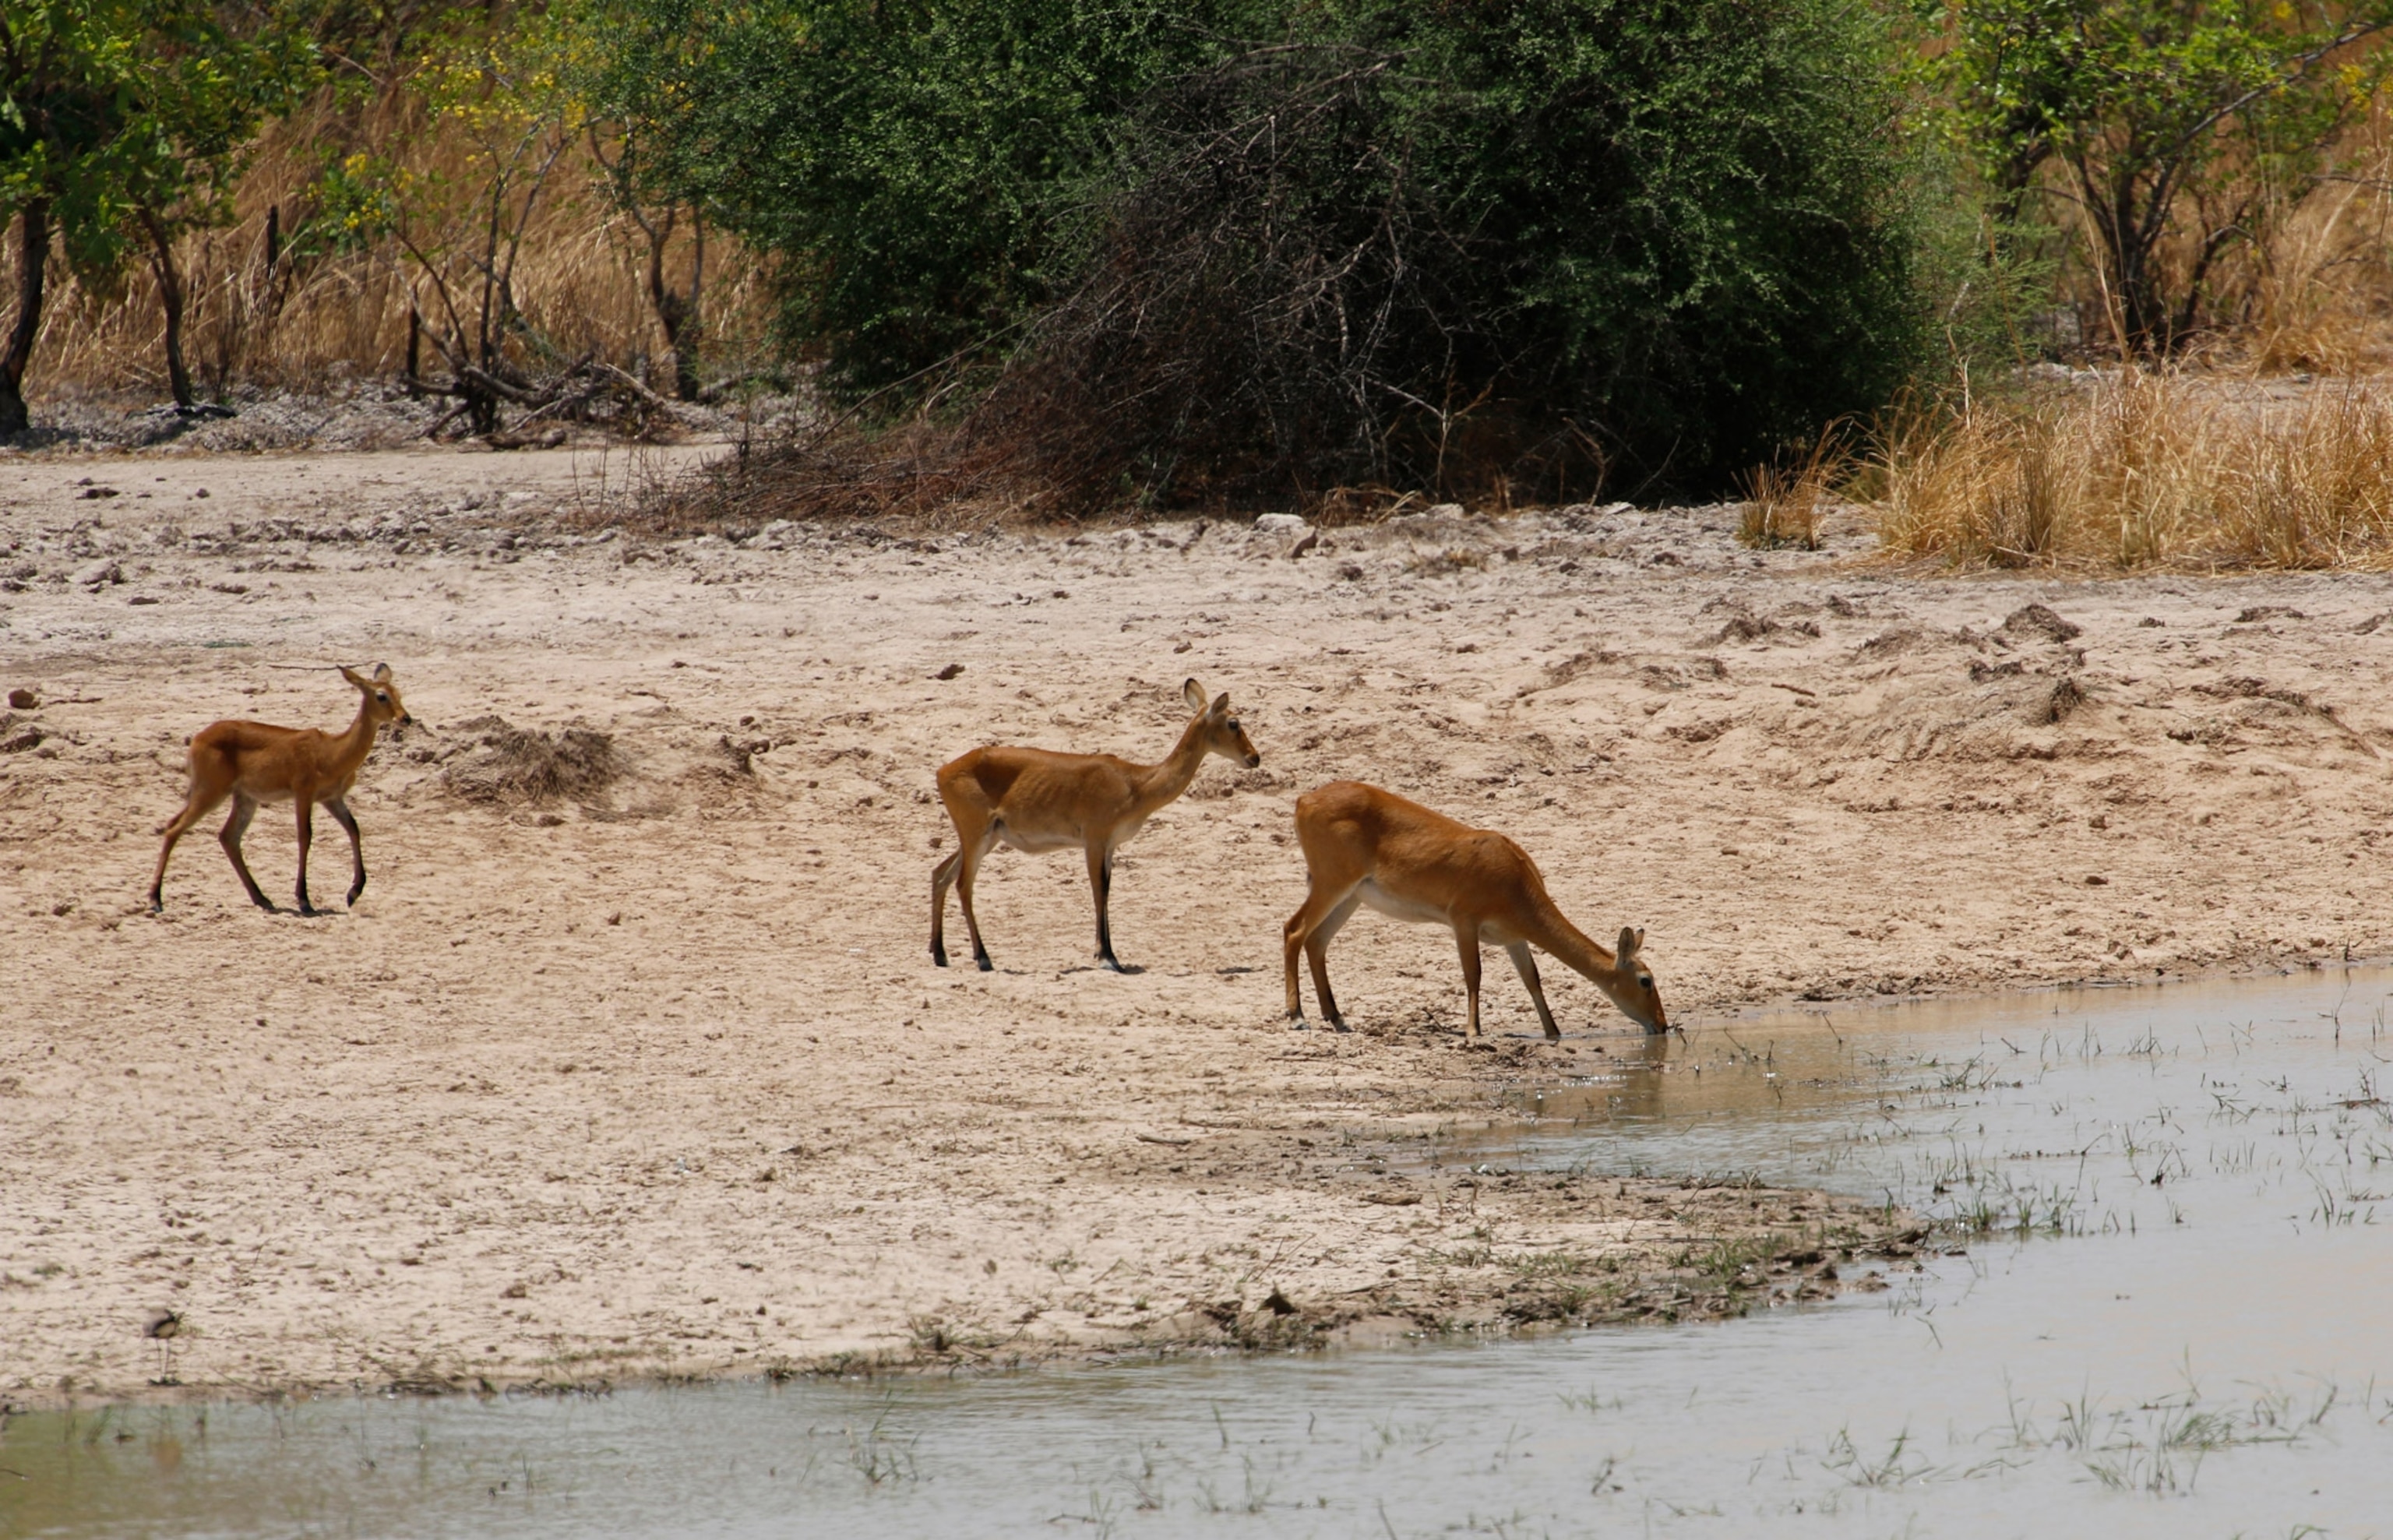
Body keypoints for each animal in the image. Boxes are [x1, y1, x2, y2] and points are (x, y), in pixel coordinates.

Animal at [149, 664, 414, 916]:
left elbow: (354, 828)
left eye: (398, 692)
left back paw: (263, 899)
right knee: (175, 829)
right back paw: (155, 900)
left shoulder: (332, 798)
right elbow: (305, 836)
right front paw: (304, 900)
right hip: (212, 792)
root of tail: (198, 738)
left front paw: (353, 893)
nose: (406, 718)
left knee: (226, 836)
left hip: (242, 798)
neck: (332, 752)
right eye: (381, 695)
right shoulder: (304, 794)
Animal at [932, 678, 1260, 972]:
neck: (1136, 783)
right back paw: (983, 958)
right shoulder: (1094, 841)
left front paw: (1107, 954)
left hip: (985, 838)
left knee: (940, 874)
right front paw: (1108, 958)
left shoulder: (1110, 846)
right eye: (1234, 722)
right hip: (977, 836)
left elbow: (1106, 889)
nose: (1254, 758)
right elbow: (1098, 890)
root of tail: (943, 770)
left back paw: (940, 954)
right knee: (962, 885)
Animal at [1282, 780, 1666, 1037]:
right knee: (1294, 930)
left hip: (1352, 897)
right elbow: (1474, 974)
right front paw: (1473, 1031)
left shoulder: (1514, 938)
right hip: (1332, 884)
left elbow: (1532, 979)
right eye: (1645, 980)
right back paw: (1297, 1016)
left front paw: (1553, 1032)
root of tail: (1304, 799)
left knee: (1317, 941)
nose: (1662, 1025)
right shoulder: (1463, 922)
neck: (1514, 878)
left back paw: (1337, 1018)